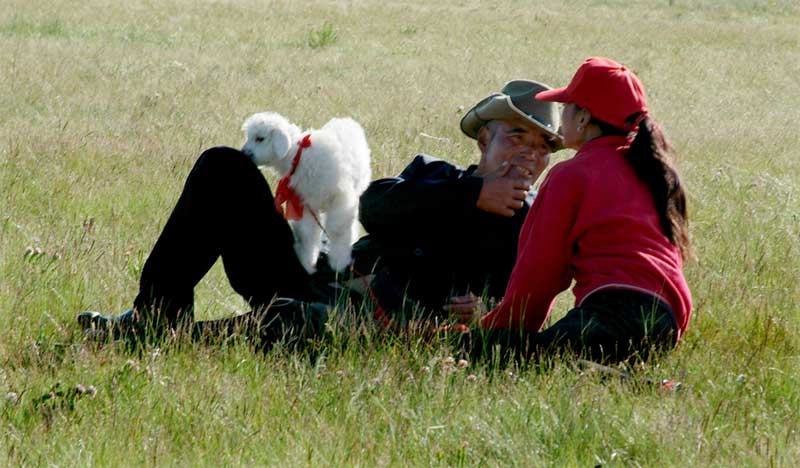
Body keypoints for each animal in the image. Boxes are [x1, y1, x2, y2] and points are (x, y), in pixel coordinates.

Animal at [241, 112, 372, 274]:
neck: (298, 157)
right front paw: (307, 264)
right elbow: (306, 234)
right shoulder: (304, 205)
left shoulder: (341, 199)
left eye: (260, 138)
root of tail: (345, 120)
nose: (244, 153)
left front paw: (339, 263)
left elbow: (337, 230)